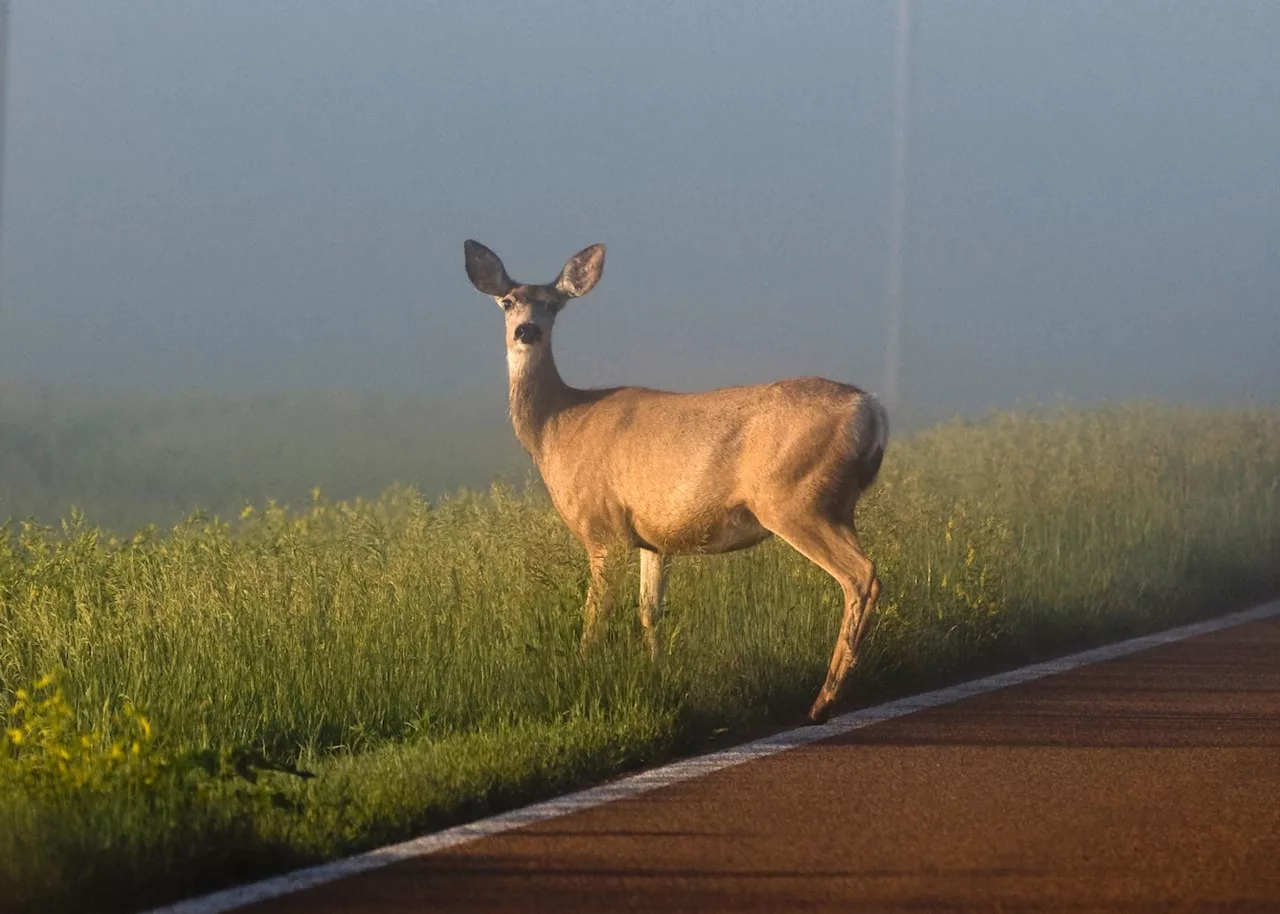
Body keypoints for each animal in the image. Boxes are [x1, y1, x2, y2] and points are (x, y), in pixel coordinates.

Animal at [463, 238, 890, 721]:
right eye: (508, 301)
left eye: (553, 304)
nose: (526, 331)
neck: (558, 426)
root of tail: (872, 409)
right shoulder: (653, 537)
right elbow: (650, 610)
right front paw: (659, 676)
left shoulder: (603, 528)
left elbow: (595, 614)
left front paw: (581, 671)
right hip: (837, 504)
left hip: (794, 499)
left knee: (860, 575)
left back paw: (824, 699)